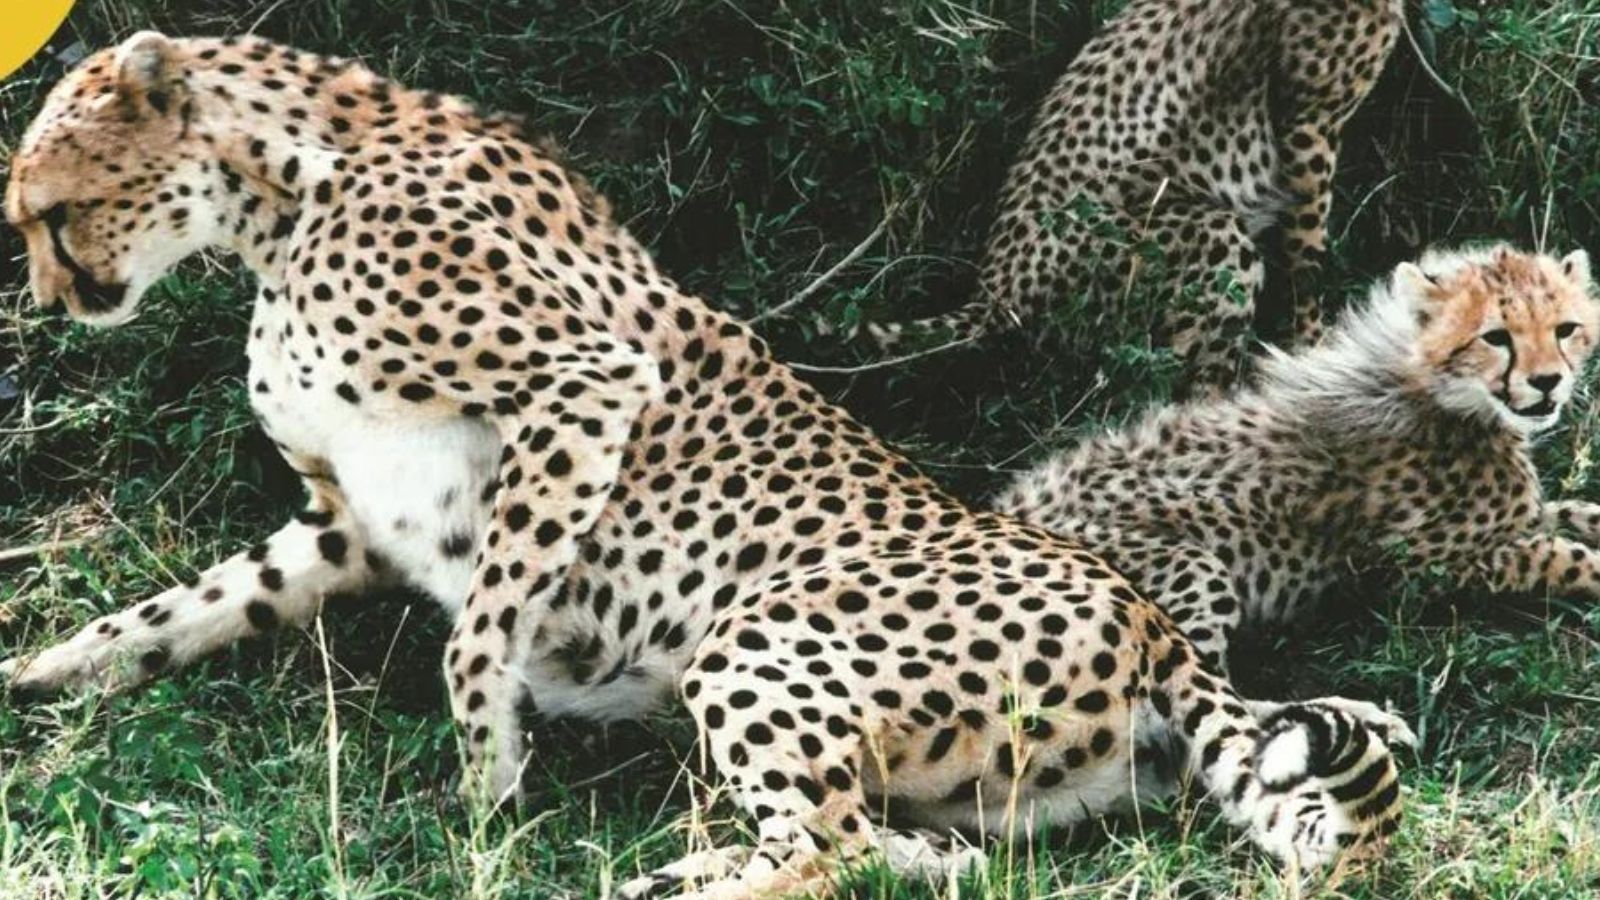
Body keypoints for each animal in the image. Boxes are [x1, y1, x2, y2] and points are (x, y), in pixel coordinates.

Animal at [994, 244, 1600, 678]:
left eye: (1565, 329)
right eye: (1495, 337)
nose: (1548, 381)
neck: (1440, 396)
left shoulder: (1516, 519)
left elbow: (1573, 512)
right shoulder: (1413, 572)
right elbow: (1558, 554)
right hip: (1188, 566)